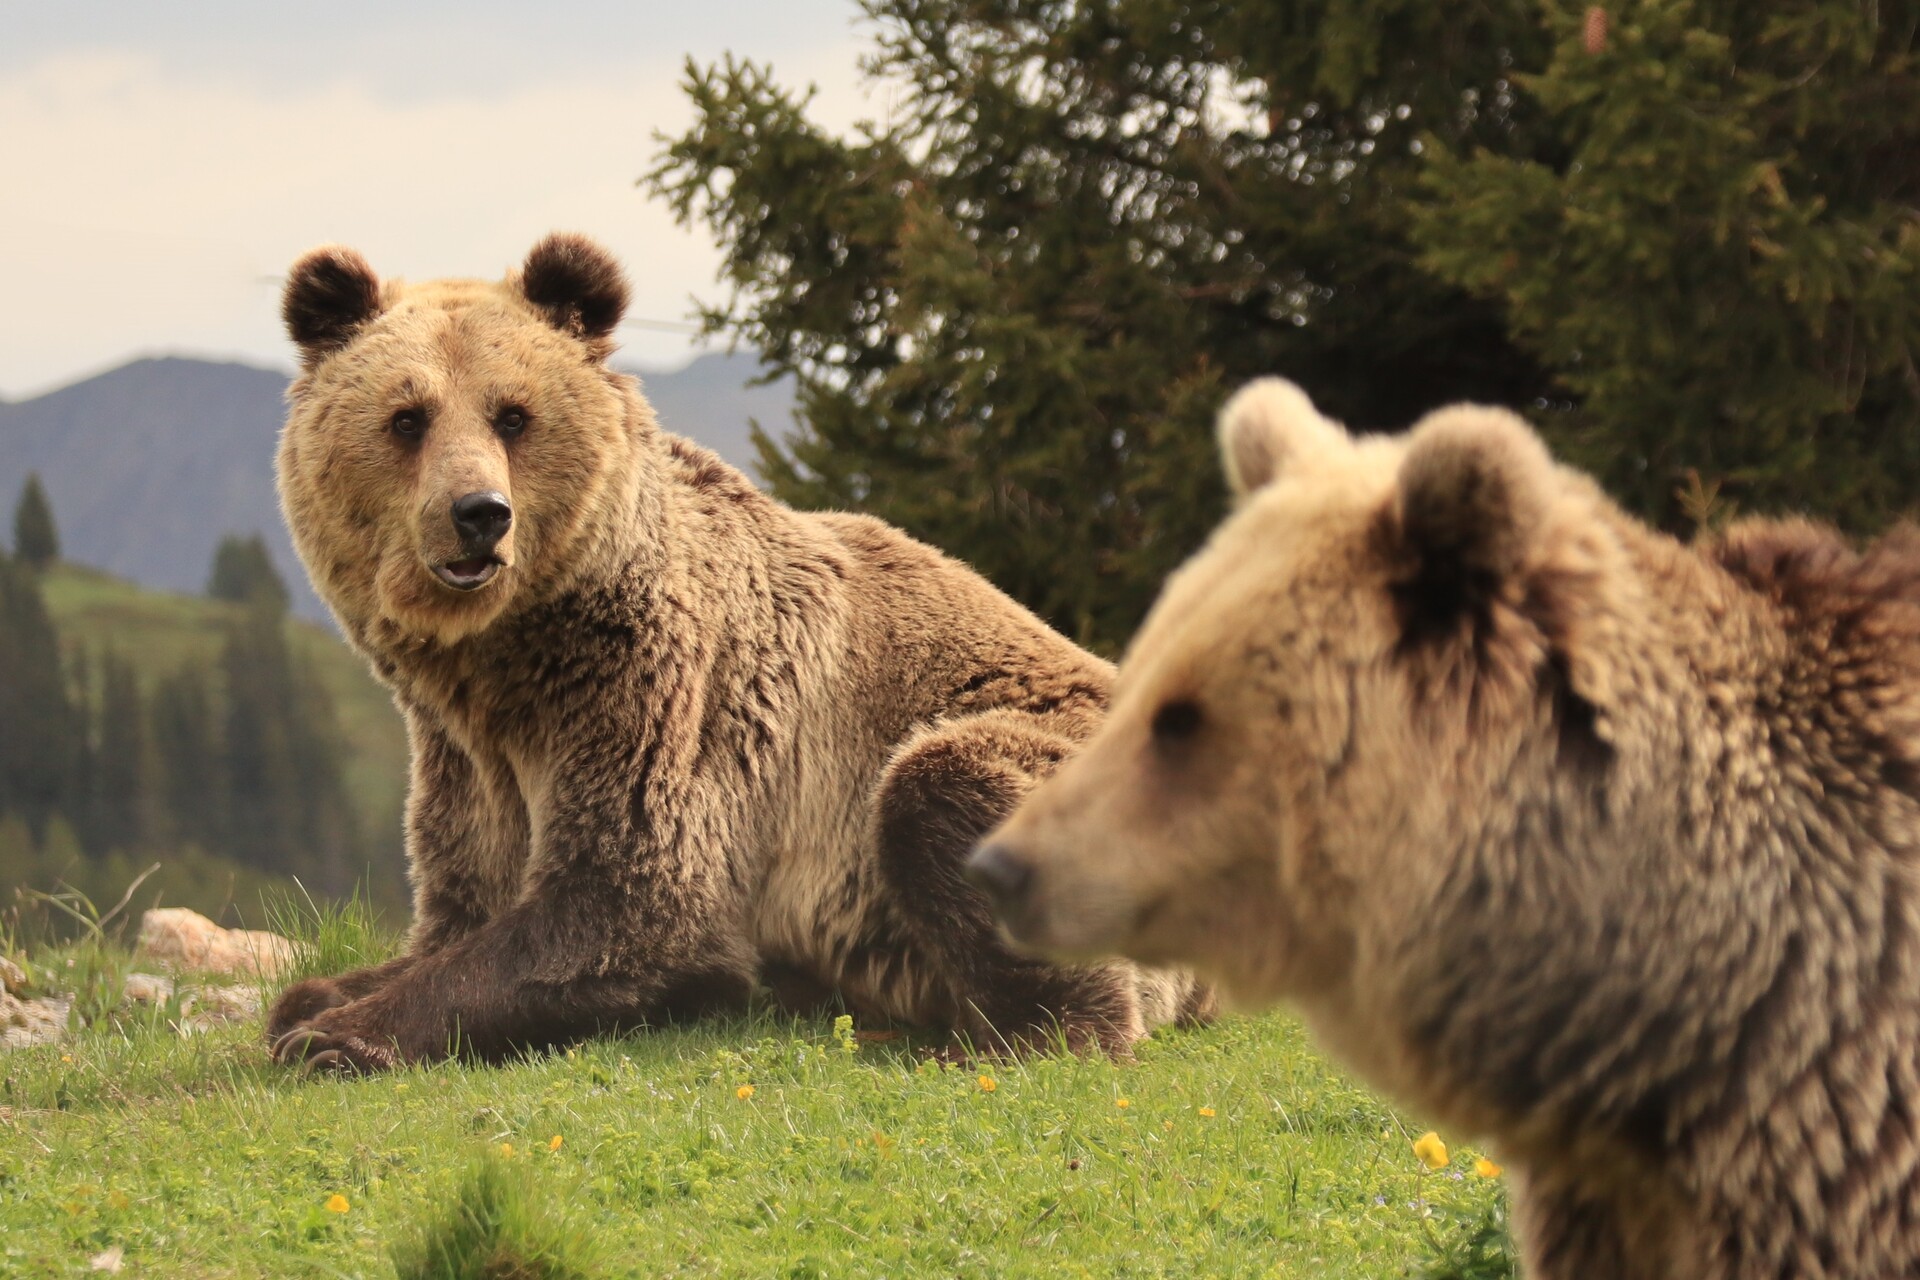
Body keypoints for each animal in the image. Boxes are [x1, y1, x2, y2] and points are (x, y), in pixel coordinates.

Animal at [265, 233, 1209, 1073]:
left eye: (513, 415)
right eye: (406, 418)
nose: (479, 513)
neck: (509, 658)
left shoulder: (659, 694)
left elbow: (631, 902)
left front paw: (338, 1037)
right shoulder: (466, 756)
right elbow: (461, 903)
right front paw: (314, 1000)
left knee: (943, 788)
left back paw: (1021, 1032)